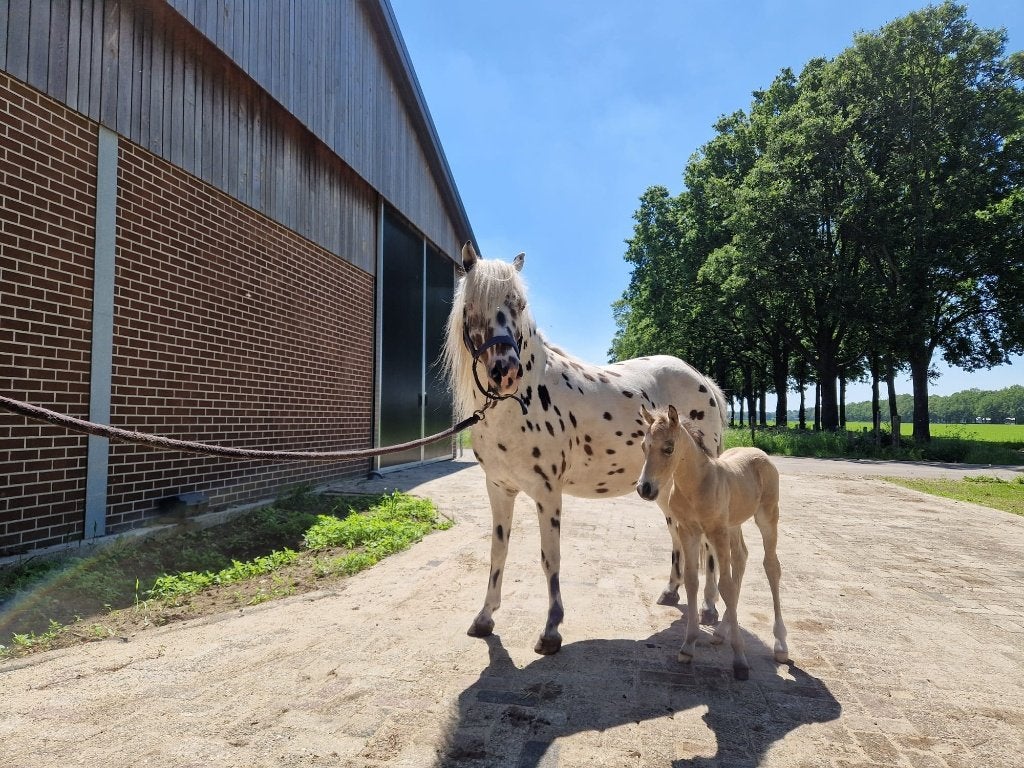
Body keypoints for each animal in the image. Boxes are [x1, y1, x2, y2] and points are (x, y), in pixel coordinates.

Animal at [441, 243, 728, 655]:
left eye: (519, 304)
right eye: (472, 306)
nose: (506, 370)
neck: (520, 400)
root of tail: (701, 378)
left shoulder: (547, 492)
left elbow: (550, 558)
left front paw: (551, 630)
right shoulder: (498, 489)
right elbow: (498, 551)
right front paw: (484, 617)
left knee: (706, 543)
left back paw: (707, 607)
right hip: (663, 489)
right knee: (678, 533)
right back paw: (672, 592)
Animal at [635, 403, 789, 680]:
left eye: (668, 448)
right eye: (644, 446)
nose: (645, 488)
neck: (696, 485)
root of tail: (757, 451)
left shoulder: (716, 532)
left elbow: (724, 586)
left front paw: (740, 659)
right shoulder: (689, 531)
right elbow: (692, 581)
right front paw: (688, 646)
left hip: (767, 517)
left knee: (771, 567)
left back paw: (780, 644)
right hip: (734, 524)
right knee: (741, 557)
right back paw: (719, 633)